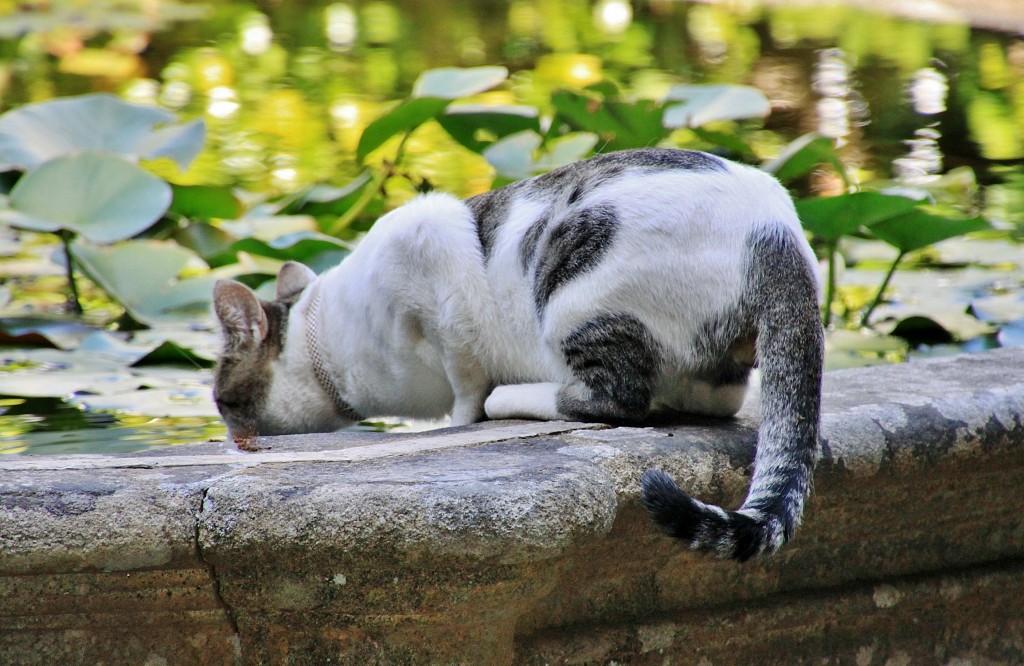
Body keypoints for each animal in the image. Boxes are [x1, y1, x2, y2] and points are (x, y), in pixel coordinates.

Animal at [214, 147, 823, 557]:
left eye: (222, 402)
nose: (228, 434)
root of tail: (778, 230)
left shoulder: (433, 249)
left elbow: (464, 382)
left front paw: (457, 419)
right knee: (713, 398)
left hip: (572, 296)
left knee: (617, 399)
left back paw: (513, 396)